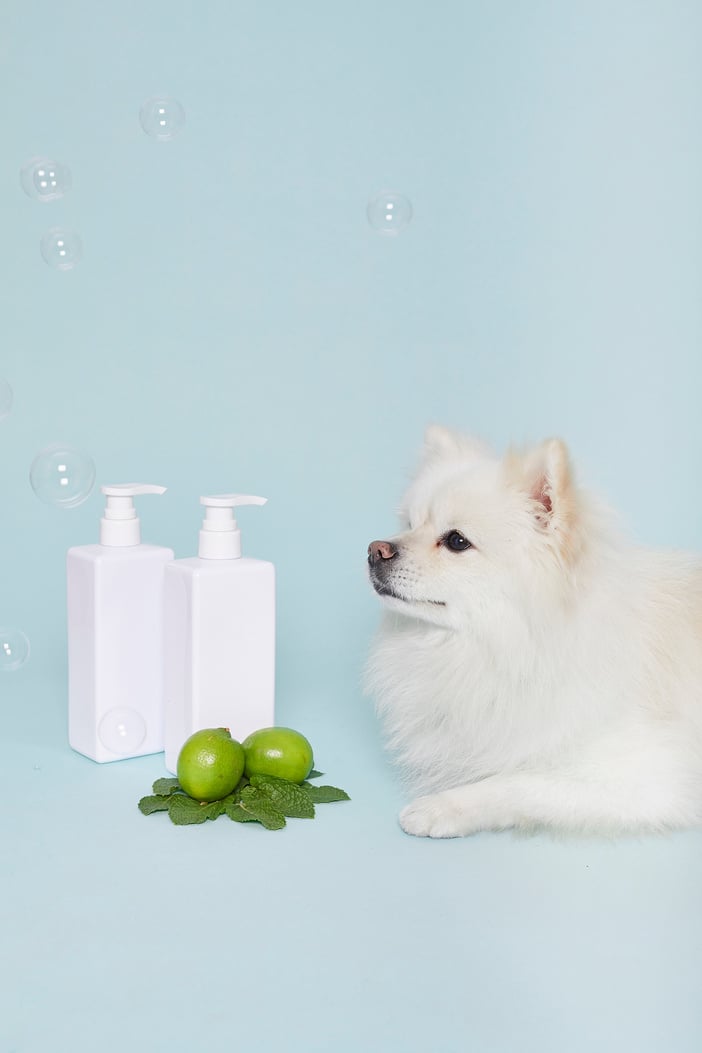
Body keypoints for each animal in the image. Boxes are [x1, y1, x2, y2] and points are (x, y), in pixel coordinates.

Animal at [366, 425, 702, 838]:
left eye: (457, 541)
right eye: (409, 526)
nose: (375, 550)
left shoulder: (648, 778)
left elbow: (517, 782)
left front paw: (442, 807)